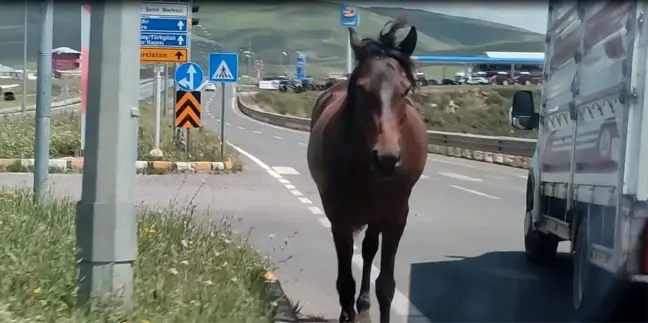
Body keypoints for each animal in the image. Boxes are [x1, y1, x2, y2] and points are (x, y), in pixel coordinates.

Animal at [306, 19, 428, 323]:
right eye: (361, 89)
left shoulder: (396, 216)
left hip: (377, 215)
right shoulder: (339, 217)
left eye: (405, 90)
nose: (386, 158)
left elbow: (386, 285)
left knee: (370, 249)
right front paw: (346, 313)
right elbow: (345, 281)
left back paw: (363, 306)